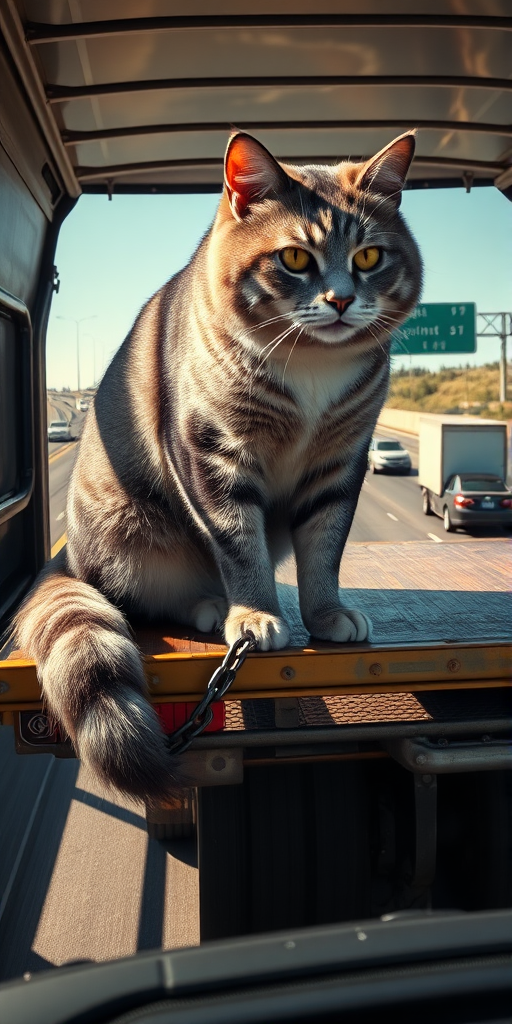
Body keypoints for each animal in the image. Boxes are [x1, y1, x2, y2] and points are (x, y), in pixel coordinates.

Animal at [14, 132, 421, 798]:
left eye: (368, 257)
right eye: (295, 258)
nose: (341, 300)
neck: (311, 363)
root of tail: (67, 558)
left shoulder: (341, 463)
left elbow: (325, 545)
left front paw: (326, 612)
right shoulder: (213, 453)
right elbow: (239, 543)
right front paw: (255, 612)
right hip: (133, 535)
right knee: (144, 597)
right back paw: (208, 606)